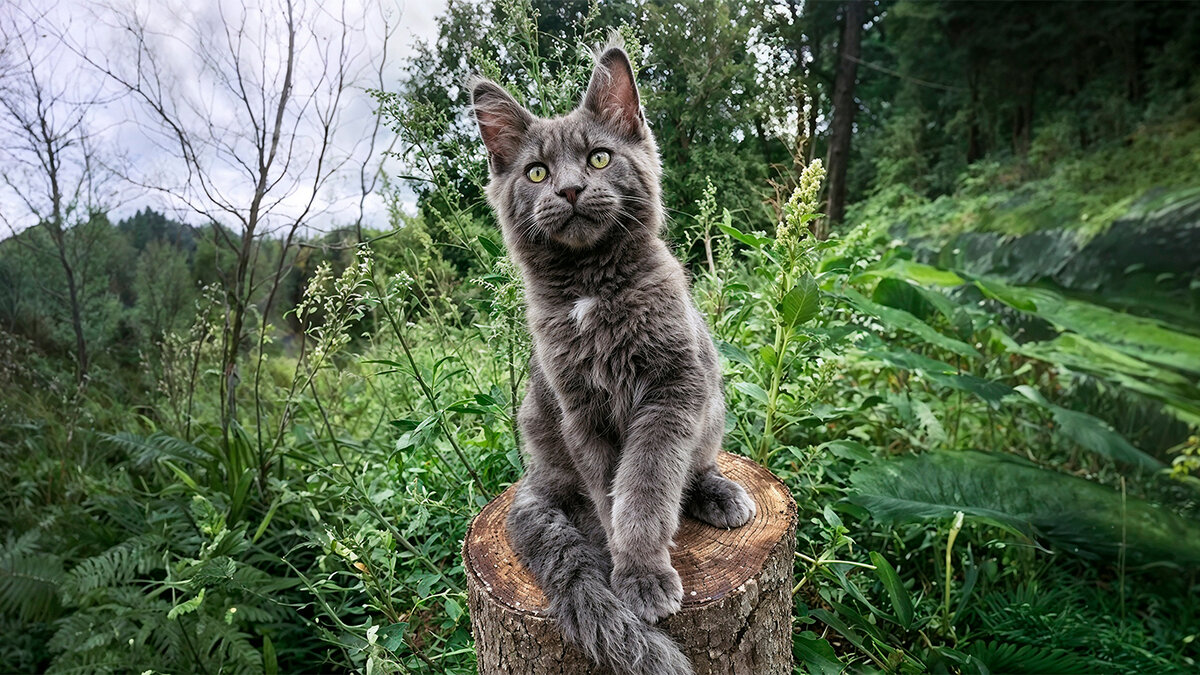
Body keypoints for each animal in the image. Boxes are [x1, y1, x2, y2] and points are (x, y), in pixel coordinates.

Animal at [472, 43, 753, 672]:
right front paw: (630, 573)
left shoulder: (672, 390)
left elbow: (646, 482)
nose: (571, 190)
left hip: (710, 407)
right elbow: (611, 492)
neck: (591, 292)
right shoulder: (582, 411)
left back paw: (722, 495)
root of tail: (534, 478)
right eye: (537, 172)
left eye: (599, 158)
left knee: (695, 468)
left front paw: (643, 573)